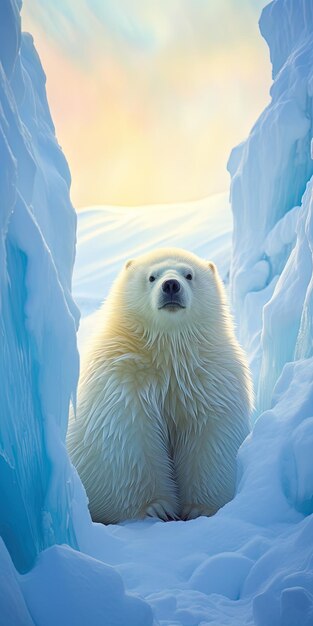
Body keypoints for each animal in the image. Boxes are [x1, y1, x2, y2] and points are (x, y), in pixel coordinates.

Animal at [67, 249, 252, 520]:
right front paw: (157, 508)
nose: (171, 285)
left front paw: (199, 509)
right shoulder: (122, 379)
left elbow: (210, 435)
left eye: (189, 274)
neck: (168, 355)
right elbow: (129, 437)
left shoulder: (209, 379)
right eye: (152, 276)